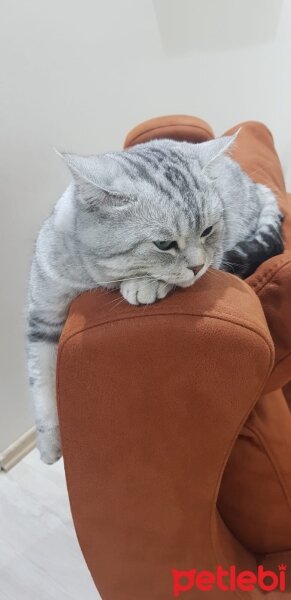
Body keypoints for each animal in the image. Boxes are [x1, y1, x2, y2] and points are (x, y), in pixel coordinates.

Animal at [26, 135, 282, 464]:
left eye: (208, 231)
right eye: (164, 244)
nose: (198, 267)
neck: (86, 278)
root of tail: (254, 183)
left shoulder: (217, 253)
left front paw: (143, 284)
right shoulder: (42, 315)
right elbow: (41, 383)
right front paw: (48, 444)